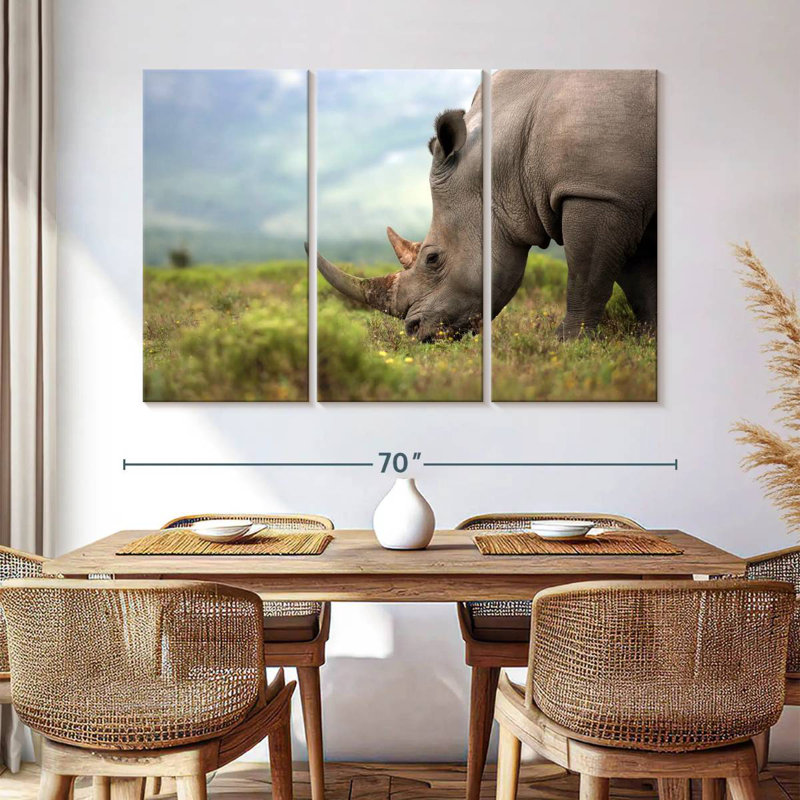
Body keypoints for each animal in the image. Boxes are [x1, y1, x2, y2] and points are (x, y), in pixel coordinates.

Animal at [317, 69, 657, 341]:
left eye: (432, 258)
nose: (413, 331)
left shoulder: (597, 192)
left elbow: (586, 274)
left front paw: (568, 343)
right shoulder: (623, 196)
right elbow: (639, 278)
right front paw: (649, 338)